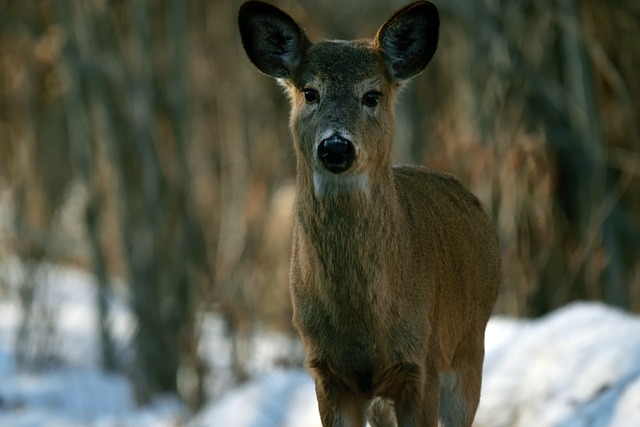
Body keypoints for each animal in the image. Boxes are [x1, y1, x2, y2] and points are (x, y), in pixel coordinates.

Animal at [238, 1, 502, 426]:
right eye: (310, 92)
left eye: (372, 95)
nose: (335, 147)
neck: (363, 323)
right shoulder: (327, 371)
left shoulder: (421, 363)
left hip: (468, 351)